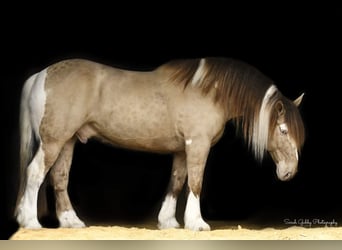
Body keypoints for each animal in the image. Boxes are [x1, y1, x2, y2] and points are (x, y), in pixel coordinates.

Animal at [14, 56, 306, 230]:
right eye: (283, 130)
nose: (290, 172)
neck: (209, 91)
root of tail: (41, 75)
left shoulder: (181, 150)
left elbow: (176, 183)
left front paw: (168, 222)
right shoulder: (197, 145)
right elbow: (195, 183)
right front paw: (197, 223)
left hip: (68, 141)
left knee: (59, 178)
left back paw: (71, 221)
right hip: (53, 141)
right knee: (35, 173)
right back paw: (30, 221)